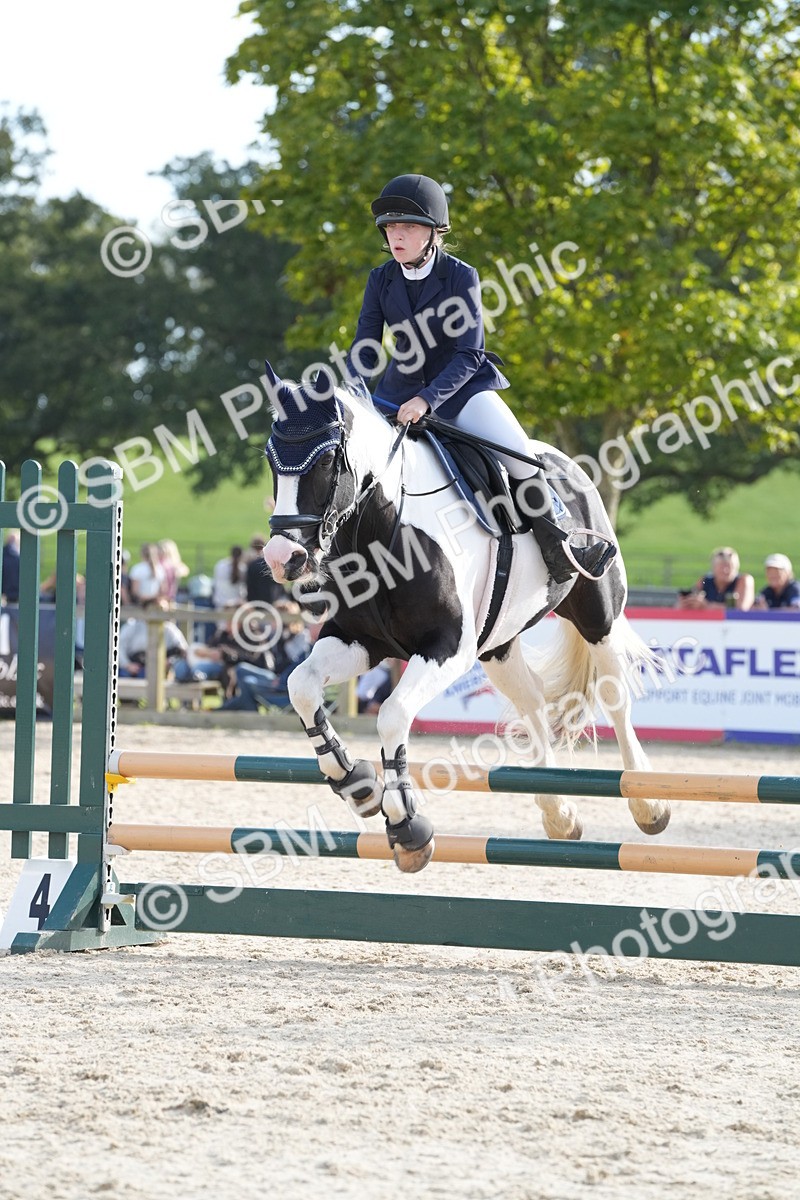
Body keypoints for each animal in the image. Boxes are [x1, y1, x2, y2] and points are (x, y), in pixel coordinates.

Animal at [262, 360, 670, 872]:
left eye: (324, 461)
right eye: (271, 461)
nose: (283, 559)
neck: (381, 531)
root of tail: (566, 463)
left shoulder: (447, 649)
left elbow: (393, 715)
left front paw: (407, 826)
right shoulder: (359, 640)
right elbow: (301, 687)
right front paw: (355, 783)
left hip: (599, 614)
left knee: (615, 696)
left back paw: (648, 803)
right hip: (498, 644)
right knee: (533, 702)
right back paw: (559, 814)